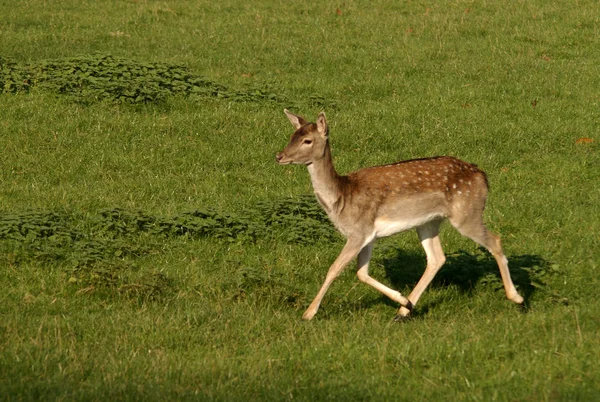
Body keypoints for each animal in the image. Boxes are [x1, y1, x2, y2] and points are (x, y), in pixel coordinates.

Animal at [274, 108, 524, 322]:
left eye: (307, 140)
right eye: (292, 135)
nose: (279, 155)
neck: (341, 199)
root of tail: (483, 177)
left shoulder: (358, 231)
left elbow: (334, 269)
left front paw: (308, 313)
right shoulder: (369, 235)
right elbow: (361, 272)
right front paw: (402, 299)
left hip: (466, 213)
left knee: (495, 240)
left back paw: (518, 298)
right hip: (428, 222)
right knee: (437, 258)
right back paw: (404, 311)